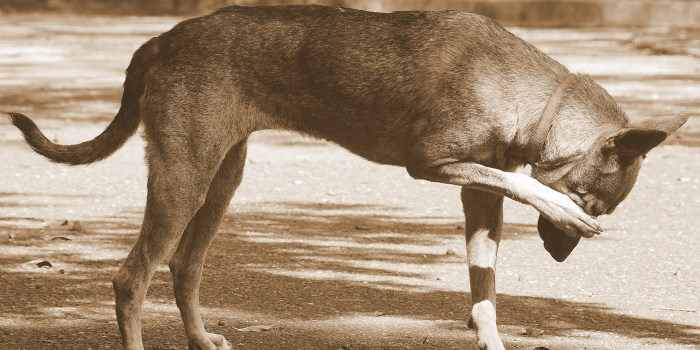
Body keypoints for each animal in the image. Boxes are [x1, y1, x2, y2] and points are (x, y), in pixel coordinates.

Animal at [8, 5, 688, 350]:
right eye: (593, 204)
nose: (561, 257)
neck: (529, 97)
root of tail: (161, 39)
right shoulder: (433, 166)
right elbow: (527, 185)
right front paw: (556, 205)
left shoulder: (476, 195)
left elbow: (486, 294)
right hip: (184, 179)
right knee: (131, 278)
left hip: (220, 178)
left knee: (181, 267)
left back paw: (201, 339)